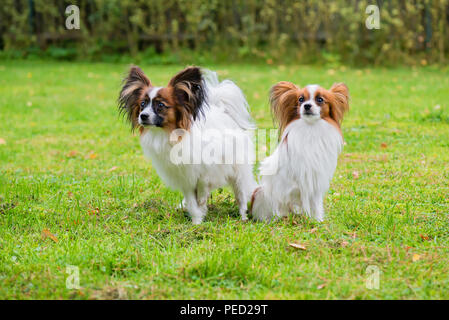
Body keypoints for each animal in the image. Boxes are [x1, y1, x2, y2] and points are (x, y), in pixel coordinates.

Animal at [117, 66, 258, 224]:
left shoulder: (209, 165)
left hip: (238, 171)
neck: (170, 135)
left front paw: (202, 198)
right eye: (142, 104)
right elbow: (192, 203)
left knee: (241, 195)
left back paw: (243, 216)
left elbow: (203, 181)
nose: (143, 116)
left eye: (160, 105)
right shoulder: (184, 177)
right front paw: (197, 223)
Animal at [250, 81, 348, 221]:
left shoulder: (315, 181)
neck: (311, 129)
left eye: (320, 99)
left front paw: (318, 220)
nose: (306, 106)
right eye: (301, 99)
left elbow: (315, 204)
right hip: (260, 192)